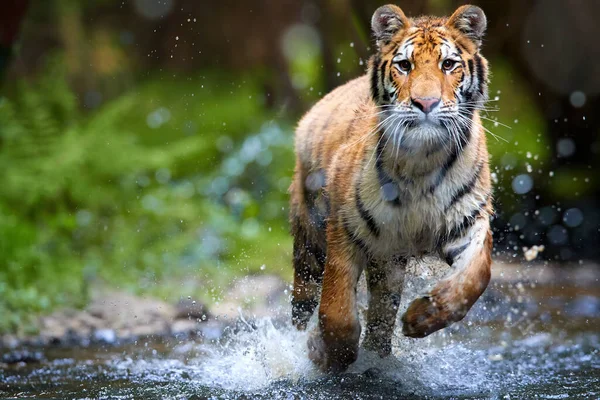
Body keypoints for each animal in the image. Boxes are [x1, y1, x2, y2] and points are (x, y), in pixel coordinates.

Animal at [290, 3, 492, 372]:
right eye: (404, 65)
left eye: (448, 64)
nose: (425, 103)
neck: (422, 161)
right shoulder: (345, 230)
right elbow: (336, 310)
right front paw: (323, 353)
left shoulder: (467, 221)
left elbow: (475, 276)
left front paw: (422, 317)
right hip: (310, 241)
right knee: (304, 302)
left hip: (388, 262)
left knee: (382, 314)